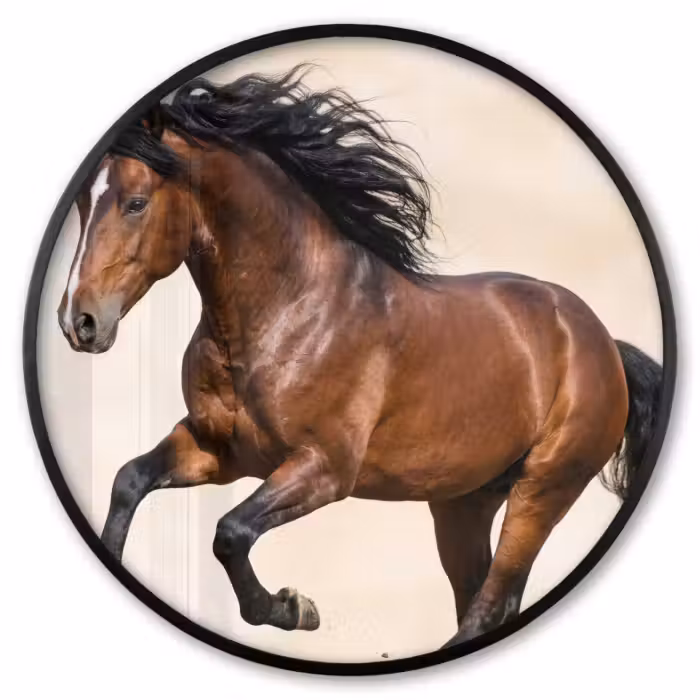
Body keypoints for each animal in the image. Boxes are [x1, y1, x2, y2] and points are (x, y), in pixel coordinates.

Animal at [57, 66, 662, 648]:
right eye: (84, 203)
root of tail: (604, 342)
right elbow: (129, 481)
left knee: (489, 605)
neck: (289, 310)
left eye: (136, 203)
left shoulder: (325, 468)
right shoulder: (218, 450)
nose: (78, 322)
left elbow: (231, 533)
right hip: (462, 502)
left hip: (543, 490)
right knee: (485, 598)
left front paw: (293, 609)